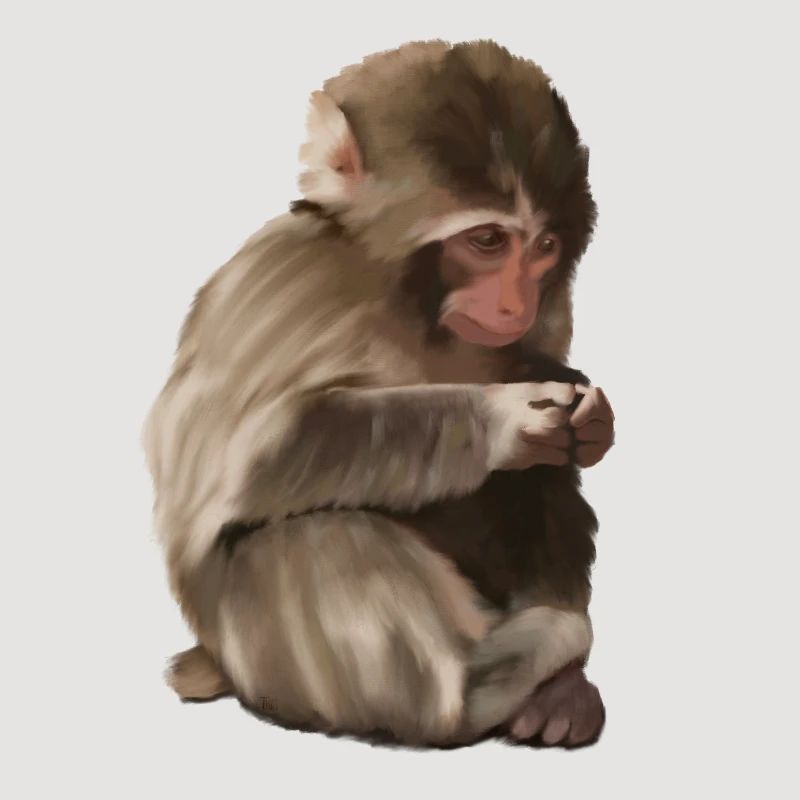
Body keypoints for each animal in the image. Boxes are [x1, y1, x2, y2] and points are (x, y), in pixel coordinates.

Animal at [144, 40, 615, 748]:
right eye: (487, 240)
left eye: (545, 246)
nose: (516, 304)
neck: (409, 300)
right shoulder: (282, 280)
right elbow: (245, 457)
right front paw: (506, 416)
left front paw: (587, 412)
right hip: (262, 660)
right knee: (312, 537)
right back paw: (489, 684)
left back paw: (560, 689)